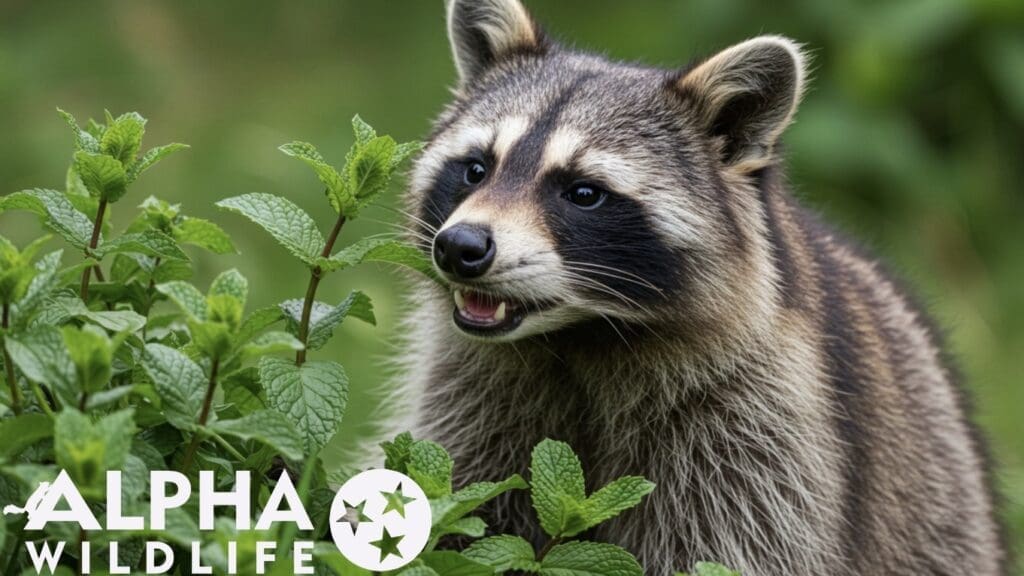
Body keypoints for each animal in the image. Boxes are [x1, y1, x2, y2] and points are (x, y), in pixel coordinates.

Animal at [394, 1, 1006, 574]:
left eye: (583, 193)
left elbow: (729, 548)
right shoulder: (471, 393)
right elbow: (460, 509)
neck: (581, 335)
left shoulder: (761, 428)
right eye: (476, 169)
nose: (460, 248)